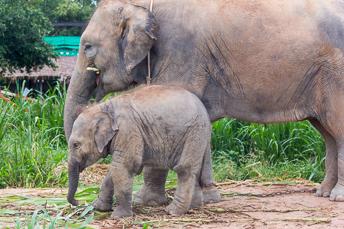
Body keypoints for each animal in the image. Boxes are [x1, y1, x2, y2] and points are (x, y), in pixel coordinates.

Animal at [67, 85, 216, 217]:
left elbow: (123, 166)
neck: (105, 107)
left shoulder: (128, 130)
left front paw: (119, 216)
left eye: (76, 145)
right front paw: (99, 207)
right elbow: (115, 170)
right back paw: (193, 206)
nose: (78, 202)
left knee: (185, 169)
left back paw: (173, 211)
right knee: (195, 170)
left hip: (194, 133)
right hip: (199, 137)